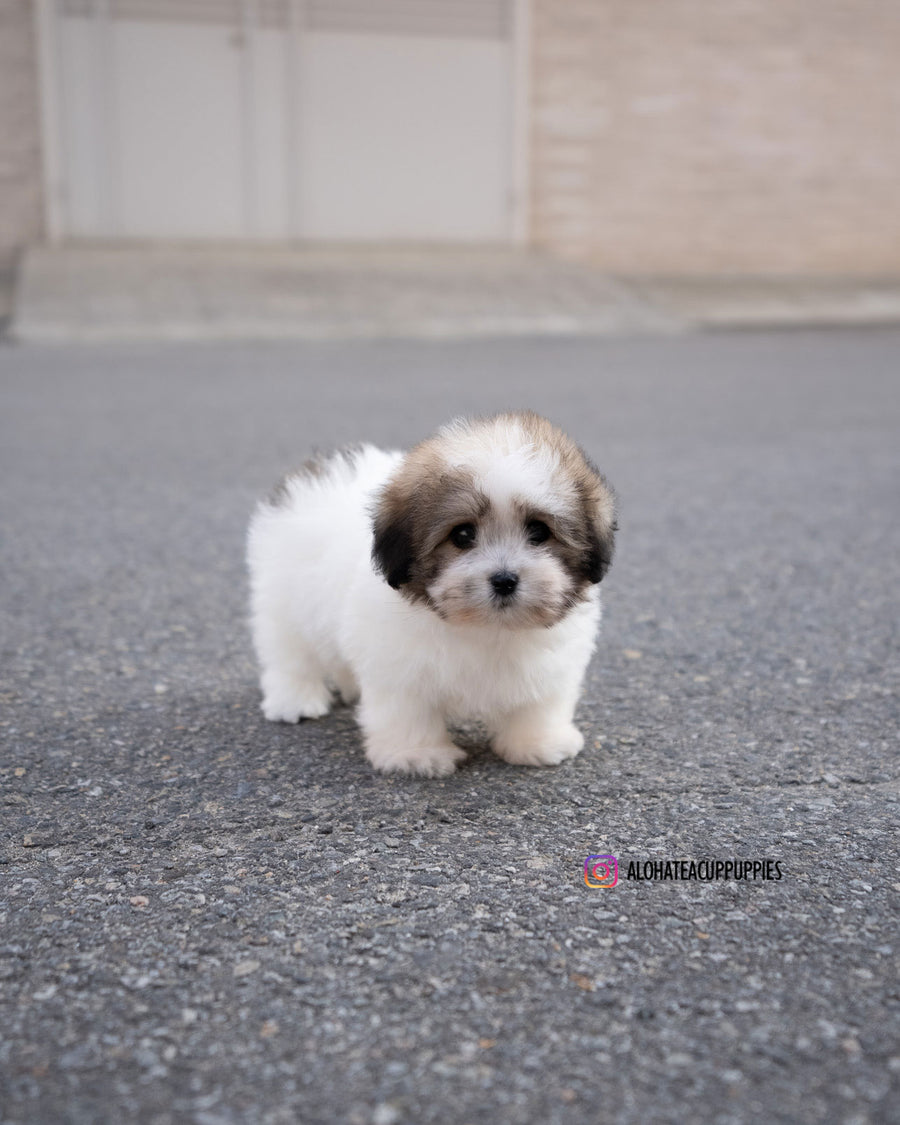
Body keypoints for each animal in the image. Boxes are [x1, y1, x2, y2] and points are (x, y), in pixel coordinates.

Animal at [247, 411, 621, 774]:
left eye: (539, 531)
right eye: (463, 535)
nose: (504, 579)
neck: (485, 628)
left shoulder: (550, 667)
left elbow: (539, 702)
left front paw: (537, 743)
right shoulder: (398, 667)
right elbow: (409, 710)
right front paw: (417, 754)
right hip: (283, 599)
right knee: (290, 652)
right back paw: (295, 698)